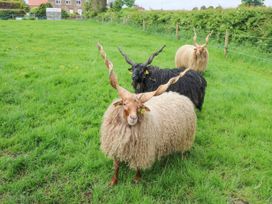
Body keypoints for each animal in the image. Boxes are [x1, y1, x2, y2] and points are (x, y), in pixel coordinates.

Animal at [96, 42, 197, 185]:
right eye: (124, 104)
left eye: (139, 107)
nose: (133, 118)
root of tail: (181, 96)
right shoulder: (116, 145)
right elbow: (116, 166)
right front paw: (113, 182)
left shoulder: (141, 152)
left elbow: (138, 167)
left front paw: (137, 180)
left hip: (185, 138)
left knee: (183, 150)